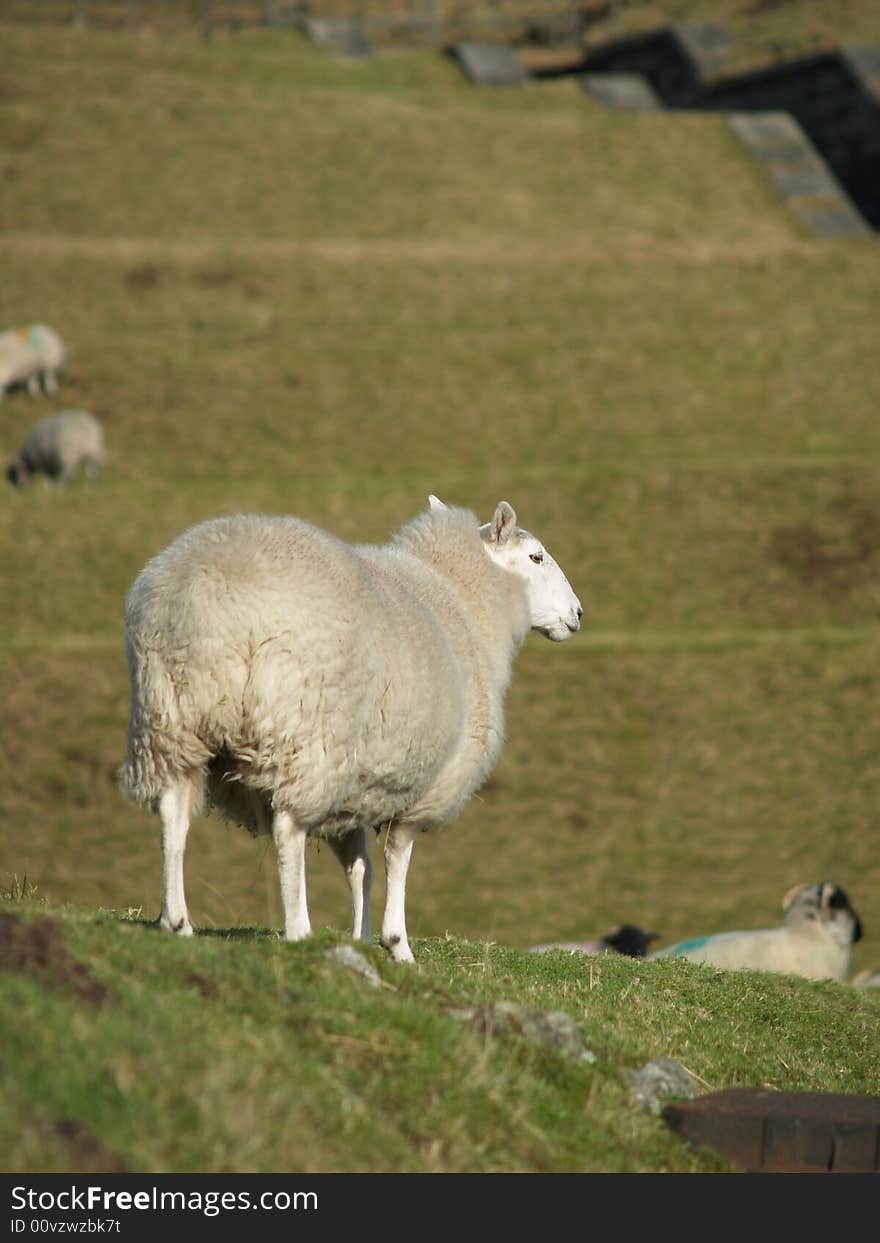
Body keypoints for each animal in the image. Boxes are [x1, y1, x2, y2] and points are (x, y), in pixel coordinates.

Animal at [116, 494, 584, 959]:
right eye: (537, 556)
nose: (577, 613)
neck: (463, 597)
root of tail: (212, 600)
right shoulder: (422, 787)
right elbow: (397, 860)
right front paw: (397, 944)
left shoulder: (358, 785)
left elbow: (361, 867)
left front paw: (360, 936)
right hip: (306, 740)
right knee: (287, 830)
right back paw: (298, 928)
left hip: (172, 720)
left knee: (173, 814)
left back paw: (177, 921)